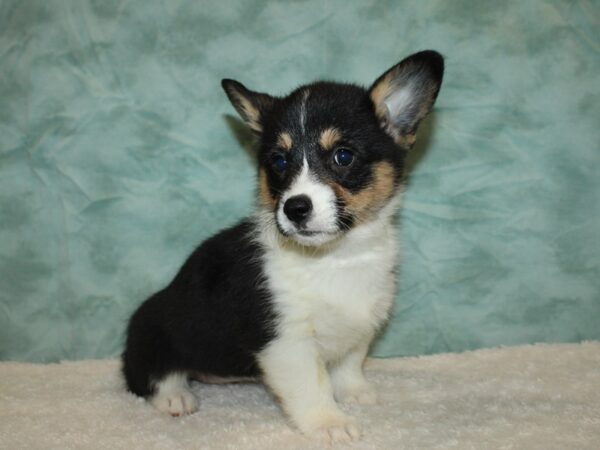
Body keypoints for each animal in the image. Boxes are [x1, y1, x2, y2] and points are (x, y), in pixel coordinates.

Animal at [122, 51, 442, 444]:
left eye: (343, 156)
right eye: (278, 161)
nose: (295, 208)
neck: (336, 257)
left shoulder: (360, 326)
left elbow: (349, 363)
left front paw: (355, 393)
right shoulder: (287, 342)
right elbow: (313, 387)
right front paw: (331, 423)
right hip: (154, 328)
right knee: (146, 374)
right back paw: (174, 396)